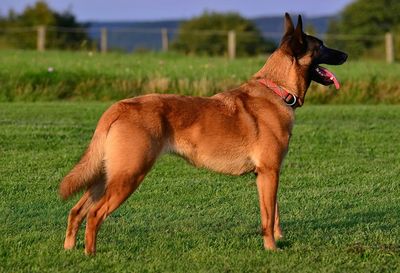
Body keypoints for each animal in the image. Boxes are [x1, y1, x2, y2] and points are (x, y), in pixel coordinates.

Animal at [58, 13, 346, 254]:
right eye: (321, 46)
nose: (345, 54)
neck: (277, 90)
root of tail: (118, 107)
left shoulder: (269, 173)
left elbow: (274, 213)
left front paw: (278, 240)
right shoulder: (269, 172)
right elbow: (267, 216)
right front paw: (271, 249)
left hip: (106, 176)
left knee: (76, 210)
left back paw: (70, 249)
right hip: (129, 176)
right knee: (94, 214)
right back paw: (91, 254)